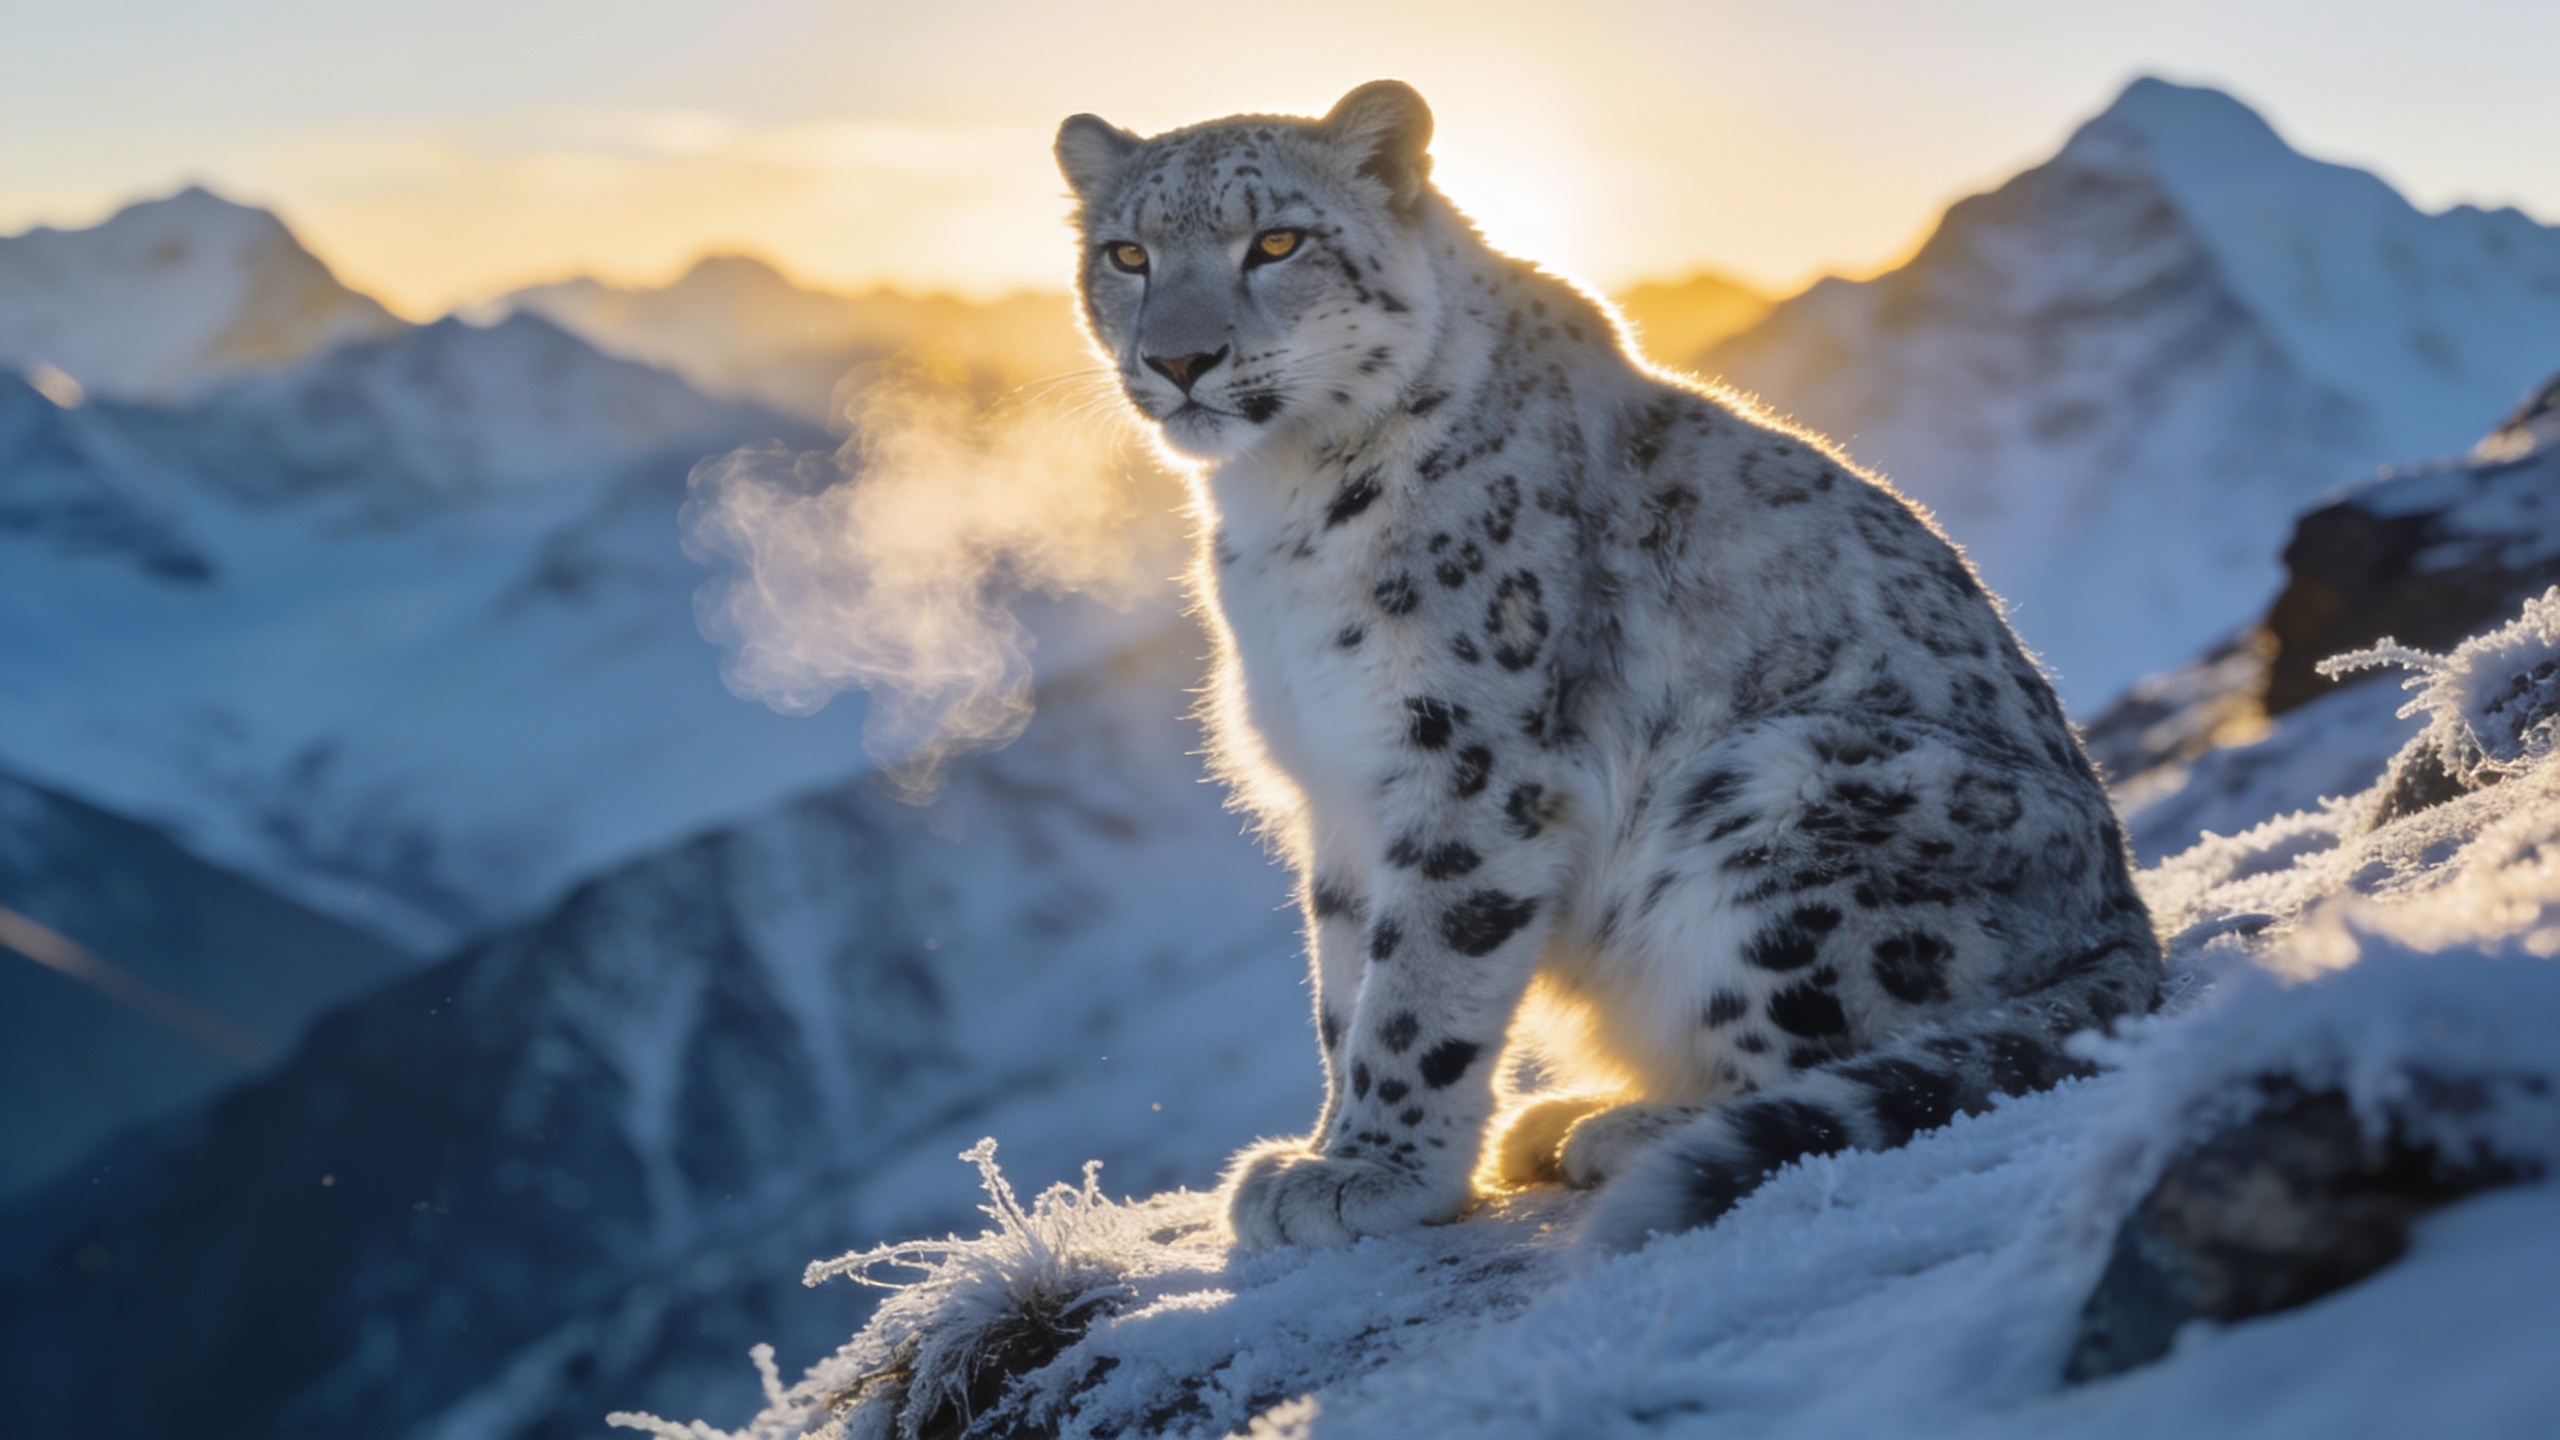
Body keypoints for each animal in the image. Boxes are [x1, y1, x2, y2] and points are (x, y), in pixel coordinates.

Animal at [1054, 80, 2162, 1252]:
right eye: (1126, 254)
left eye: (1276, 241)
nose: (1178, 361)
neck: (1281, 511)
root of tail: (2130, 921)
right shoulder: (1339, 779)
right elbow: (1344, 977)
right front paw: (1323, 1147)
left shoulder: (1472, 756)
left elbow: (1420, 979)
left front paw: (1372, 1171)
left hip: (1781, 790)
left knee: (1846, 1051)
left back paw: (1610, 1131)